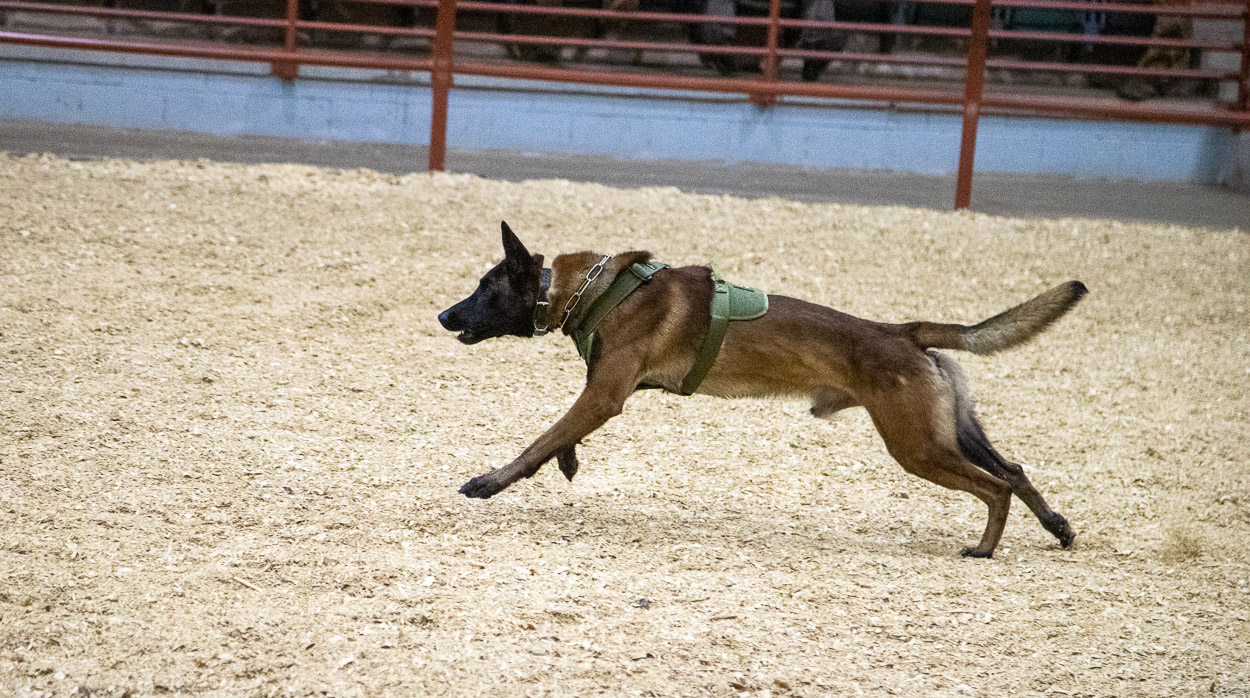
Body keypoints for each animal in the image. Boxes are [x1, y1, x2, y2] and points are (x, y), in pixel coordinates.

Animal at [438, 222, 1086, 558]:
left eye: (485, 288)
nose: (444, 316)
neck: (586, 290)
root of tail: (902, 332)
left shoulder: (606, 396)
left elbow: (540, 440)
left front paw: (490, 482)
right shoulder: (608, 390)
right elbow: (559, 436)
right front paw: (567, 460)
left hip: (918, 448)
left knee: (996, 486)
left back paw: (985, 548)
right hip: (952, 432)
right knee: (1015, 471)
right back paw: (1057, 528)